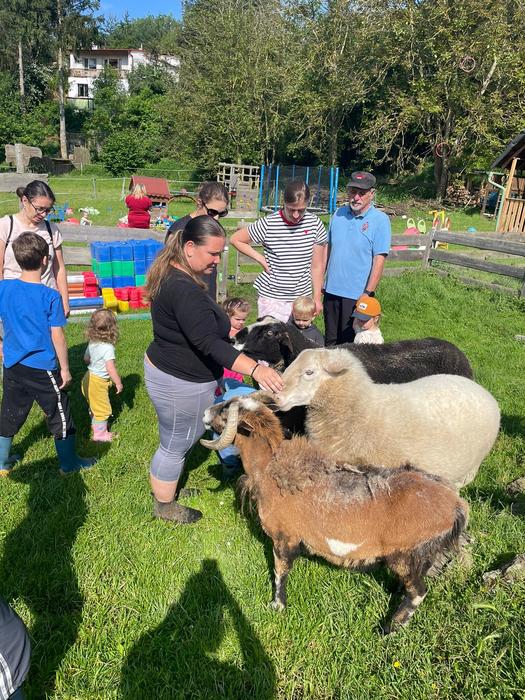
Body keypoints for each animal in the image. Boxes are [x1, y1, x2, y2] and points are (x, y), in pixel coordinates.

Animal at [200, 396, 469, 633]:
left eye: (225, 412)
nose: (204, 413)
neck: (270, 469)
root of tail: (456, 506)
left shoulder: (283, 536)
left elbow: (280, 572)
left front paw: (277, 605)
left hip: (405, 553)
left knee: (418, 592)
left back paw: (388, 629)